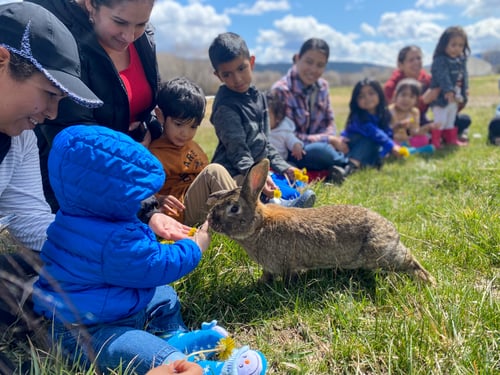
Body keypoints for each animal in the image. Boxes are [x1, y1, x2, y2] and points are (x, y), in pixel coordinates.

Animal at [206, 159, 434, 284]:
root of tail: (392, 231)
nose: (211, 220)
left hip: (379, 253)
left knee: (409, 260)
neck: (259, 225)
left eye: (234, 208)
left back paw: (427, 281)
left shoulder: (287, 264)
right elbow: (267, 275)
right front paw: (261, 283)